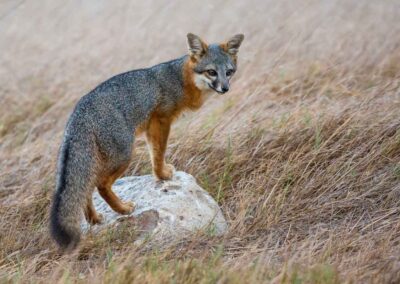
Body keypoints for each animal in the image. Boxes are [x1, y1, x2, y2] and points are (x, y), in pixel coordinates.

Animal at [50, 33, 244, 251]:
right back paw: (123, 209)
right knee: (101, 185)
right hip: (124, 155)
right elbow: (159, 153)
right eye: (211, 72)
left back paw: (94, 218)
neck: (181, 78)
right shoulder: (161, 121)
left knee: (87, 188)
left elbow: (154, 153)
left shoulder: (153, 126)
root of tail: (78, 113)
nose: (225, 88)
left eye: (228, 72)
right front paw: (163, 175)